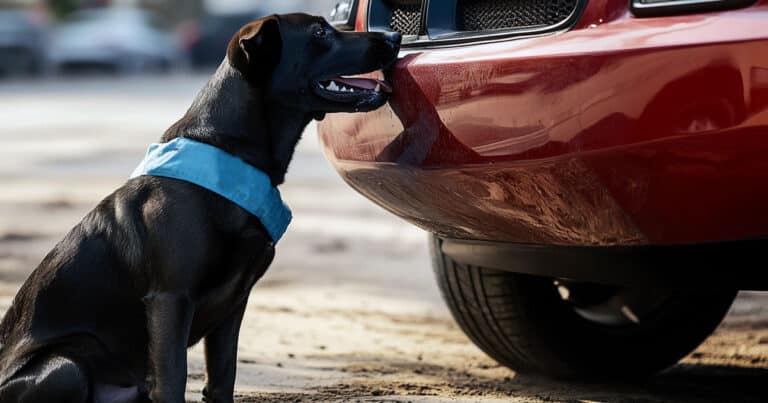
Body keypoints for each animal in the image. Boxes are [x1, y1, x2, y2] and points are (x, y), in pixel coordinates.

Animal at [0, 14, 400, 402]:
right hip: (65, 367)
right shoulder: (171, 298)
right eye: (320, 33)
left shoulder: (234, 305)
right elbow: (173, 379)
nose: (393, 36)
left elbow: (223, 378)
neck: (229, 150)